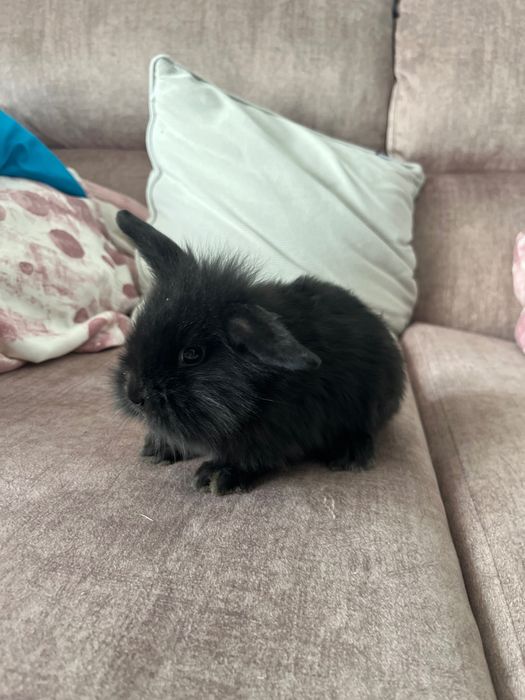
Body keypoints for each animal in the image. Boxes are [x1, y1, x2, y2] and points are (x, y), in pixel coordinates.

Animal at [114, 210, 406, 495]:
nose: (134, 395)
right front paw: (158, 449)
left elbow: (253, 456)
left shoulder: (277, 432)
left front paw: (217, 476)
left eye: (192, 354)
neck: (263, 387)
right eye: (139, 324)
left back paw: (350, 455)